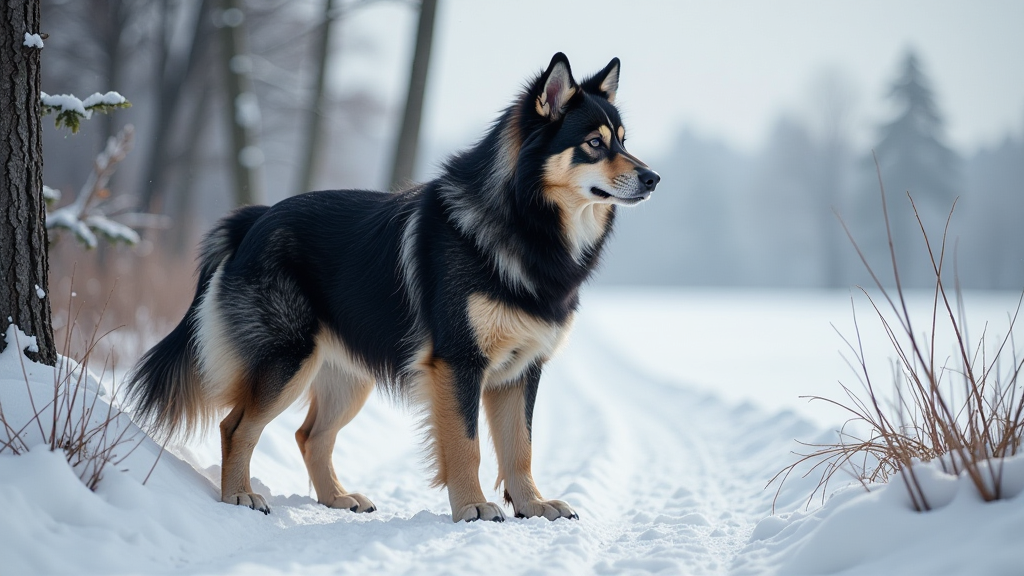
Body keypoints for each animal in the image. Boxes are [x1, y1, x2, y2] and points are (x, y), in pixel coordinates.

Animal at [123, 52, 659, 520]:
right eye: (594, 143)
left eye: (623, 139)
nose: (653, 178)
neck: (523, 221)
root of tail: (254, 220)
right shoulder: (458, 363)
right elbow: (467, 446)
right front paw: (472, 507)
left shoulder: (521, 371)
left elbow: (520, 448)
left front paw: (532, 506)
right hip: (288, 359)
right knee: (236, 426)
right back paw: (239, 496)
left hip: (347, 375)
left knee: (310, 436)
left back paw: (337, 499)